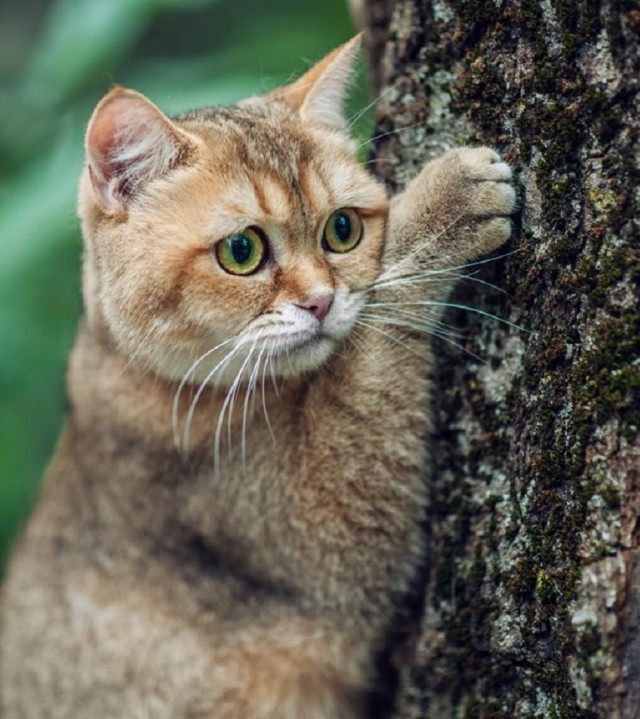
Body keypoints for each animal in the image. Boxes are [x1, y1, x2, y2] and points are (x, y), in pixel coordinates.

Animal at [0, 36, 516, 719]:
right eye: (240, 251)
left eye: (342, 229)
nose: (321, 301)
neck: (132, 378)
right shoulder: (328, 531)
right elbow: (378, 332)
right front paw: (445, 202)